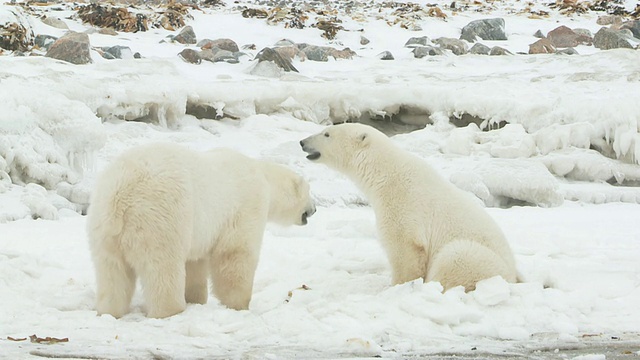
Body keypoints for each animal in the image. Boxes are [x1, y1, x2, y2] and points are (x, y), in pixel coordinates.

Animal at [86, 143, 316, 318]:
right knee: (163, 268)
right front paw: (240, 304)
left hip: (103, 227)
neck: (263, 175)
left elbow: (195, 262)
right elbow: (235, 254)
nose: (314, 209)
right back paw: (170, 310)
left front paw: (196, 299)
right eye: (309, 193)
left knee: (111, 273)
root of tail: (121, 194)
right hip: (160, 219)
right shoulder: (246, 205)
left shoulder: (201, 231)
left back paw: (109, 311)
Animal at [302, 124, 516, 292]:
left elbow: (404, 247)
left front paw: (397, 286)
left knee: (455, 257)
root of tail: (514, 277)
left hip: (482, 262)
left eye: (327, 134)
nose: (302, 142)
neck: (384, 173)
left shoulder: (403, 202)